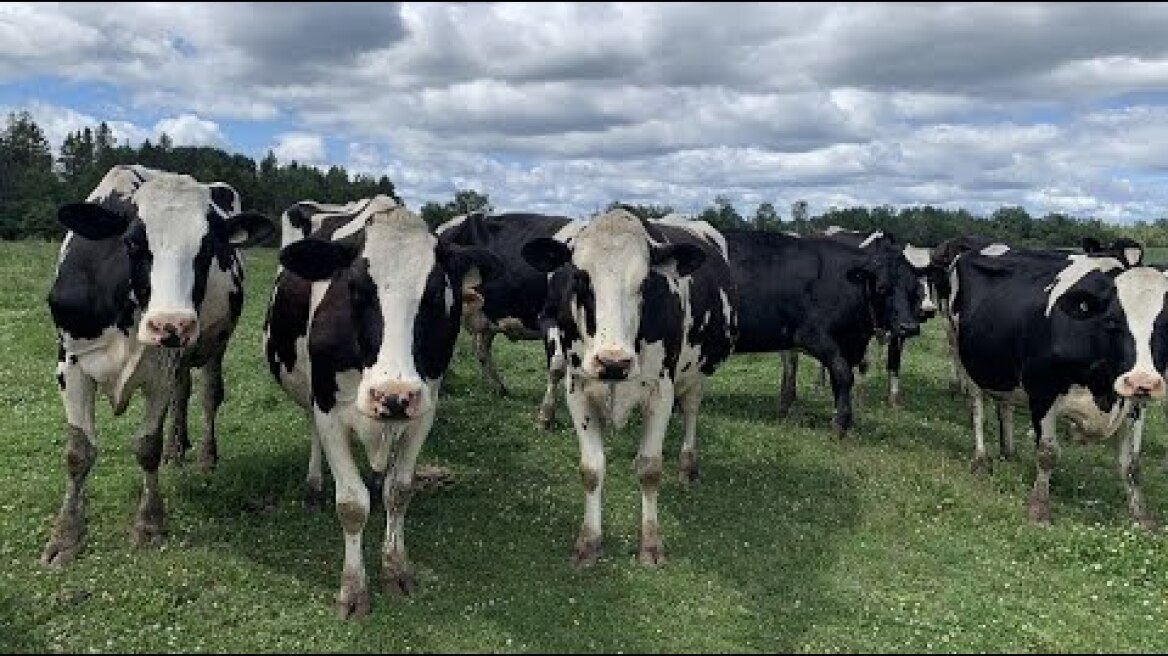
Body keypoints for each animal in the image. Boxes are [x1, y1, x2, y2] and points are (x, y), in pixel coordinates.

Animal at [42, 164, 273, 566]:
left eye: (208, 248)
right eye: (133, 243)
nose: (172, 324)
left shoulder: (162, 369)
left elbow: (147, 446)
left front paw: (149, 525)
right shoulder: (69, 365)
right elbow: (78, 452)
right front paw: (66, 536)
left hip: (213, 344)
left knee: (208, 395)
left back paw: (204, 456)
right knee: (183, 393)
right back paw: (176, 450)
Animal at [265, 200, 502, 618]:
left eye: (435, 294)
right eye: (355, 288)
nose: (392, 395)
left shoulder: (424, 408)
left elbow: (399, 491)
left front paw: (396, 569)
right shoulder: (328, 408)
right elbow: (351, 504)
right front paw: (353, 590)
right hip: (310, 392)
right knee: (312, 429)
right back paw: (314, 485)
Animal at [521, 208, 737, 568]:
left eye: (646, 282)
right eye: (579, 278)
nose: (613, 362)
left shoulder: (661, 393)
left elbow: (649, 468)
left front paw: (650, 544)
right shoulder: (578, 389)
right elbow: (591, 469)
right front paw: (589, 542)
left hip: (698, 371)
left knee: (691, 409)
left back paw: (687, 464)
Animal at [724, 230, 922, 437]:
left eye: (916, 289)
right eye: (882, 288)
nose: (909, 327)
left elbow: (839, 379)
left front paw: (840, 417)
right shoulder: (813, 336)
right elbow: (843, 374)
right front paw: (841, 422)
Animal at [949, 246, 1164, 526]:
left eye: (1167, 324)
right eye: (1111, 322)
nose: (1143, 381)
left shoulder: (1133, 405)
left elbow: (1132, 464)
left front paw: (1142, 517)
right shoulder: (1042, 394)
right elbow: (1047, 453)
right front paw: (1039, 509)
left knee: (1004, 407)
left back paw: (1008, 452)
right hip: (964, 357)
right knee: (977, 410)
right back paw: (981, 459)